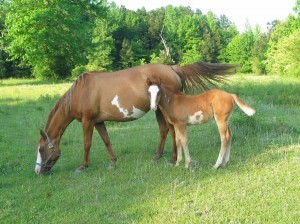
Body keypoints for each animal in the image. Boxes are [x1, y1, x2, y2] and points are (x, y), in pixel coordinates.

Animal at [35, 62, 237, 174]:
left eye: (41, 149)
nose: (38, 171)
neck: (82, 91)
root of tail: (172, 68)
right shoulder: (98, 121)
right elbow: (106, 140)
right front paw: (113, 162)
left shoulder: (87, 121)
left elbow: (87, 144)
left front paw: (83, 166)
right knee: (166, 131)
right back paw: (158, 157)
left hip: (162, 111)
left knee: (171, 132)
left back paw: (172, 159)